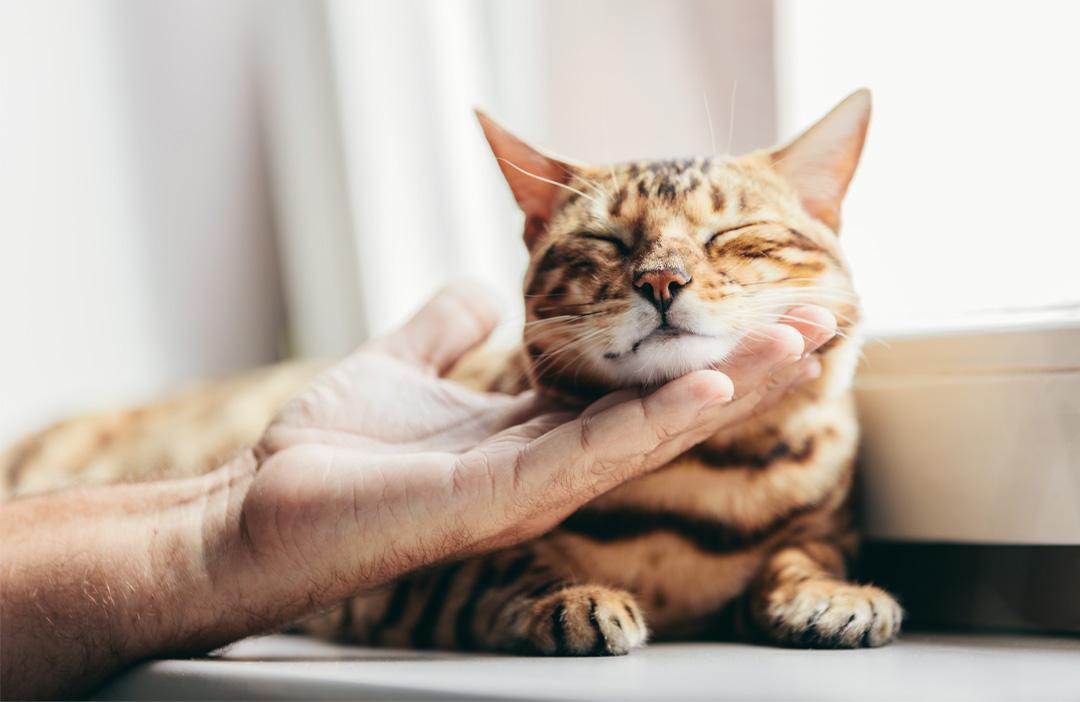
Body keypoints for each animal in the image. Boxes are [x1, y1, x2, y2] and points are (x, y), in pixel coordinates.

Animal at [2, 89, 902, 652]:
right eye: (605, 242)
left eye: (732, 237)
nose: (661, 282)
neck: (690, 487)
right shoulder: (401, 584)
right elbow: (500, 568)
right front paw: (568, 597)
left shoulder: (827, 516)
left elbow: (807, 549)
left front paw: (829, 593)